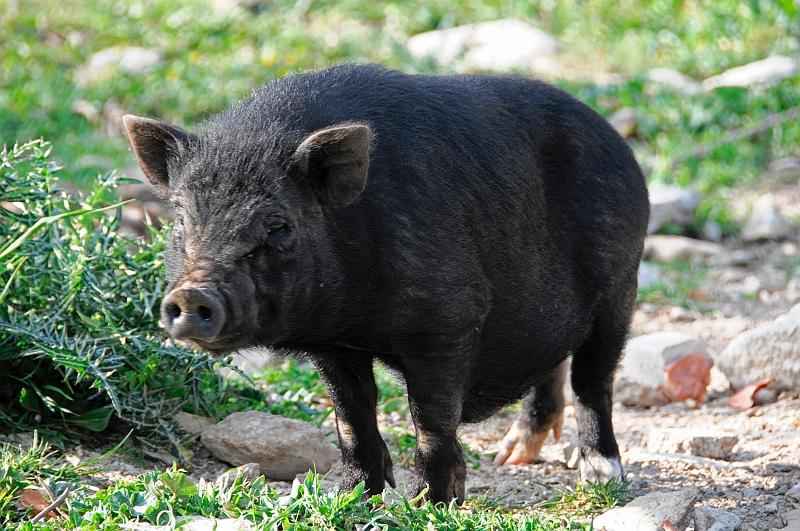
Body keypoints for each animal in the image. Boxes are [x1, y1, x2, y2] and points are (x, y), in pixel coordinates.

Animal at [123, 64, 648, 504]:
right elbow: (351, 417)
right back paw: (512, 456)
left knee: (594, 377)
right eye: (182, 220)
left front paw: (431, 503)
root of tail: (620, 145)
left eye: (278, 227)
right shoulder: (334, 345)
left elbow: (431, 418)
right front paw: (354, 496)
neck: (356, 318)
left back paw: (602, 475)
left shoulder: (448, 321)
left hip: (621, 284)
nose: (192, 294)